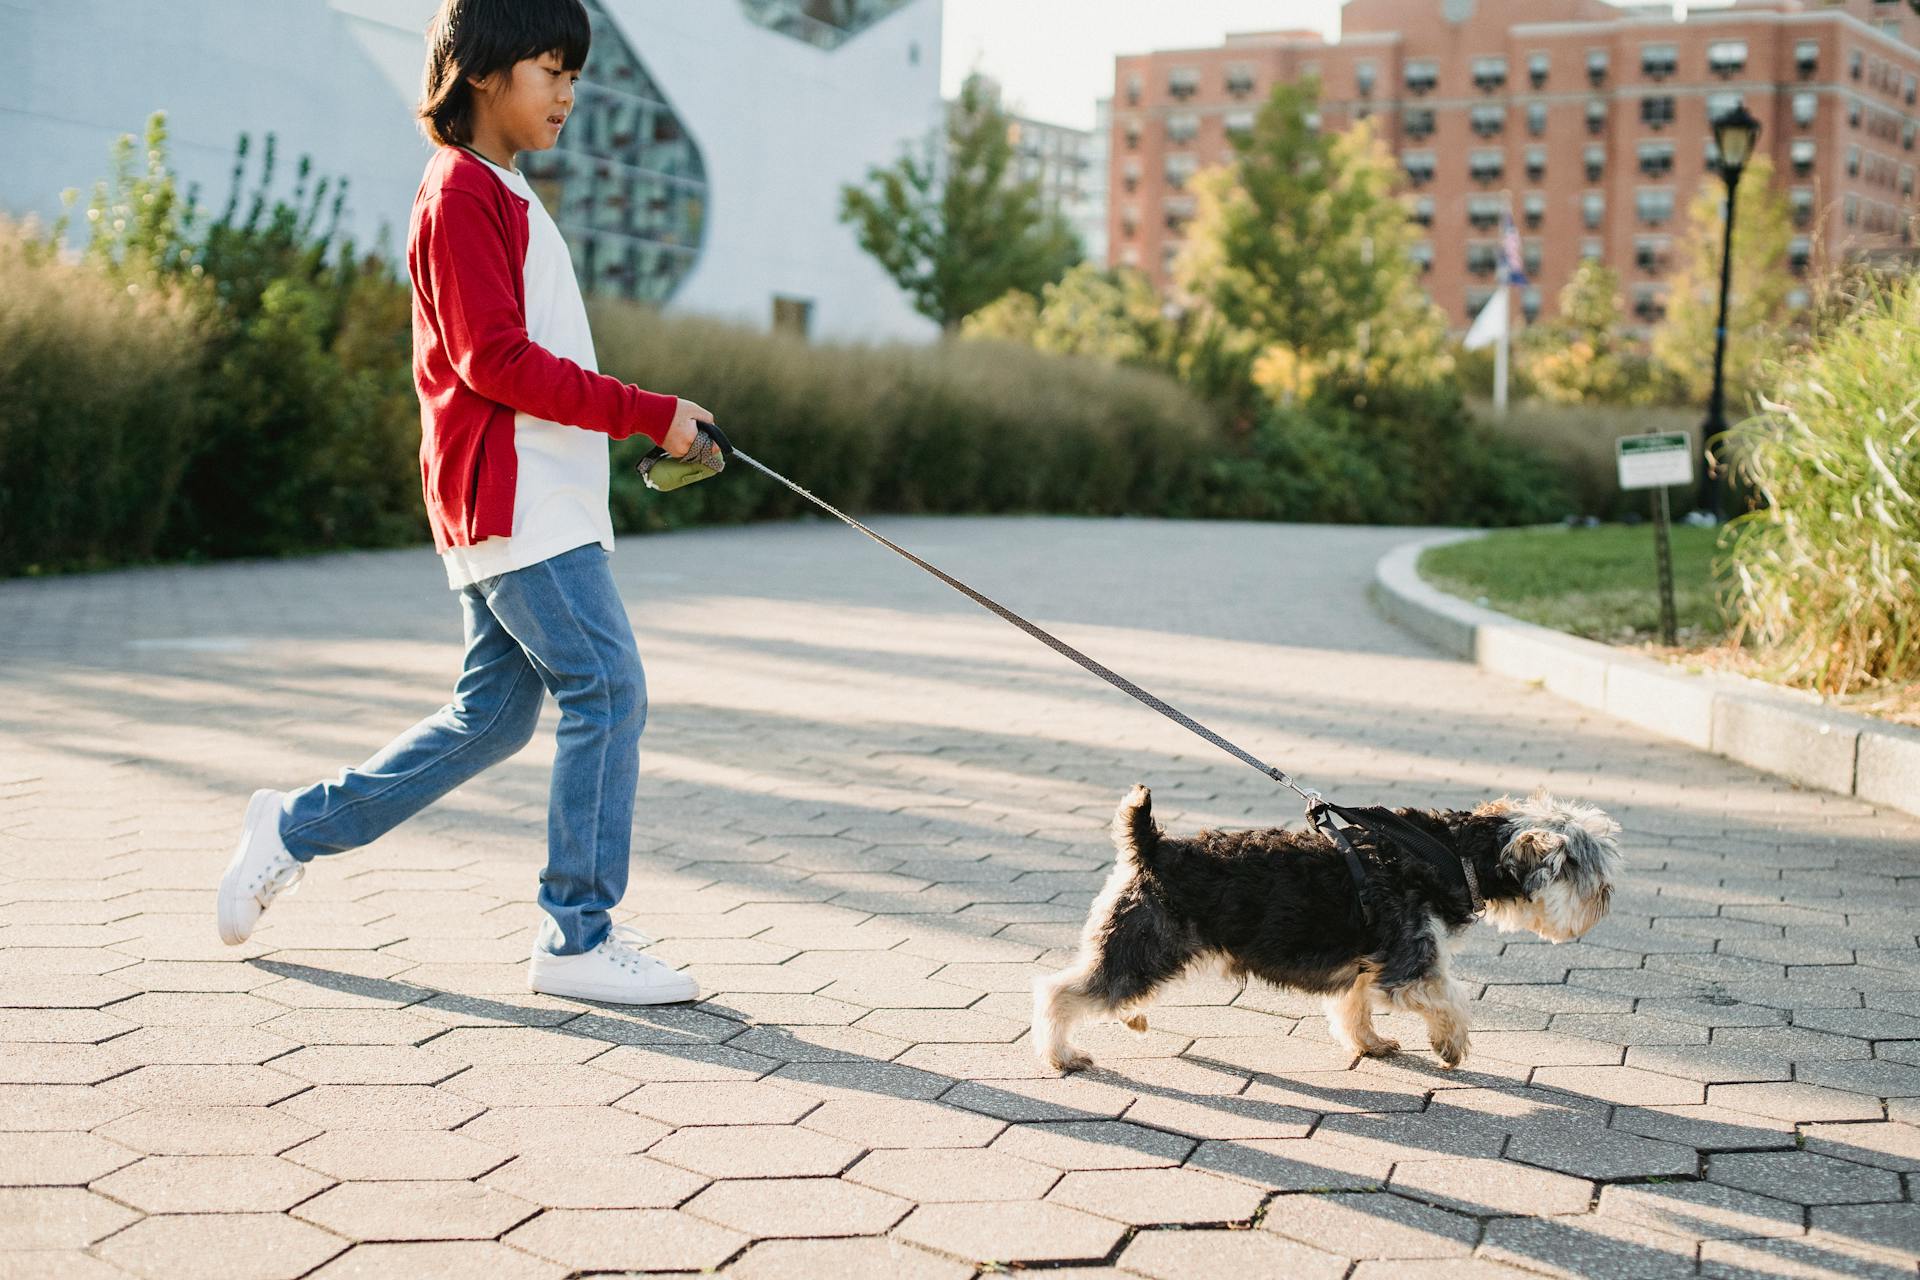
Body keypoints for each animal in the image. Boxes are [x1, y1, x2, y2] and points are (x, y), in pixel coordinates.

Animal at [1036, 786, 1620, 1074]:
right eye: (1589, 871)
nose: (1607, 901)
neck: (1453, 854)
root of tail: (1150, 846)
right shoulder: (1410, 966)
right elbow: (1450, 999)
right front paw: (1450, 1045)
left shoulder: (1365, 964)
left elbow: (1353, 1010)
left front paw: (1371, 1043)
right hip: (1144, 947)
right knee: (1060, 992)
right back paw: (1061, 1055)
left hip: (1141, 950)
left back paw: (1128, 1018)